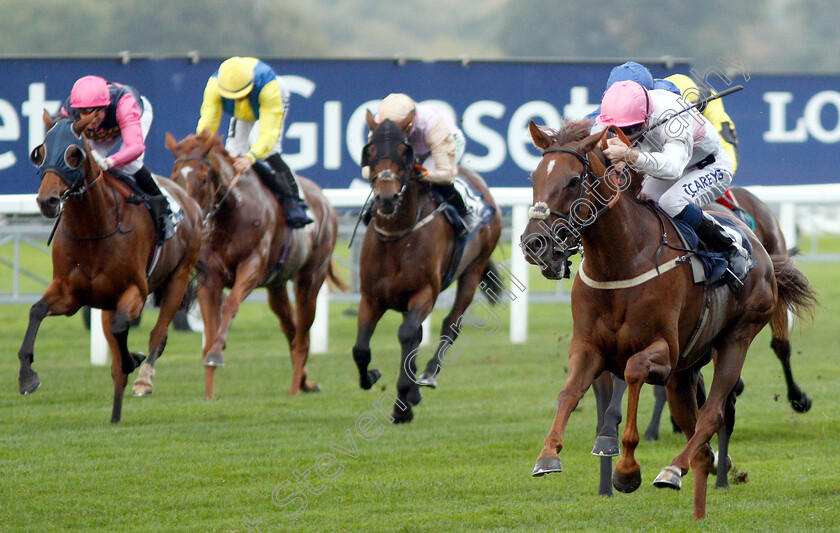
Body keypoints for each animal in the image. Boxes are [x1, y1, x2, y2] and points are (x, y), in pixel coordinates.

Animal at [20, 111, 202, 420]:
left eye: (73, 154)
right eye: (39, 153)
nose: (48, 201)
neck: (94, 227)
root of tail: (188, 197)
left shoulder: (136, 291)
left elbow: (121, 330)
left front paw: (134, 359)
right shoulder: (70, 293)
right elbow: (36, 311)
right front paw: (26, 376)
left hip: (179, 276)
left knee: (159, 334)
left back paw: (144, 379)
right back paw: (115, 416)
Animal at [167, 131, 344, 396]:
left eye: (204, 177)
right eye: (175, 175)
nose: (190, 217)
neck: (233, 213)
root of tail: (325, 201)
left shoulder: (252, 266)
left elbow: (230, 304)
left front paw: (217, 353)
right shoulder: (209, 278)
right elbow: (209, 330)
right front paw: (208, 392)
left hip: (311, 277)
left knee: (303, 334)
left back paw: (295, 389)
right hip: (277, 285)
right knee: (291, 329)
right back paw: (305, 381)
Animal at [352, 114, 502, 422]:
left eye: (403, 151)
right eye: (370, 151)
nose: (386, 198)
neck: (397, 237)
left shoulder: (424, 293)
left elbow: (407, 334)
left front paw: (402, 403)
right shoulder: (371, 297)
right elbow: (361, 349)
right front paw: (373, 377)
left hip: (474, 269)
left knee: (451, 324)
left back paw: (428, 375)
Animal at [520, 118, 816, 516]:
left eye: (571, 181)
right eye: (534, 176)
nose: (533, 244)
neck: (620, 261)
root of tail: (757, 245)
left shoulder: (664, 351)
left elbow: (633, 372)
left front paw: (627, 469)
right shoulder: (588, 347)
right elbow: (568, 393)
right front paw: (548, 455)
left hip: (736, 337)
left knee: (716, 410)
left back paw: (675, 468)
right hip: (686, 370)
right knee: (698, 423)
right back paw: (704, 469)